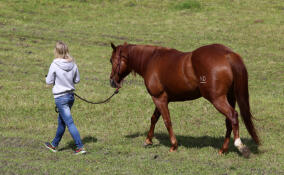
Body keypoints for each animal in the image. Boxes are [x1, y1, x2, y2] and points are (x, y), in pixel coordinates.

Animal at [108, 42, 260, 157]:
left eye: (111, 60)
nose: (112, 82)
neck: (151, 60)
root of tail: (227, 54)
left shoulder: (159, 98)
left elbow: (167, 121)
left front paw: (173, 145)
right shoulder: (162, 98)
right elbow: (154, 118)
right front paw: (148, 140)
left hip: (217, 99)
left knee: (233, 116)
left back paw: (240, 146)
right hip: (229, 97)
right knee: (229, 120)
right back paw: (223, 149)